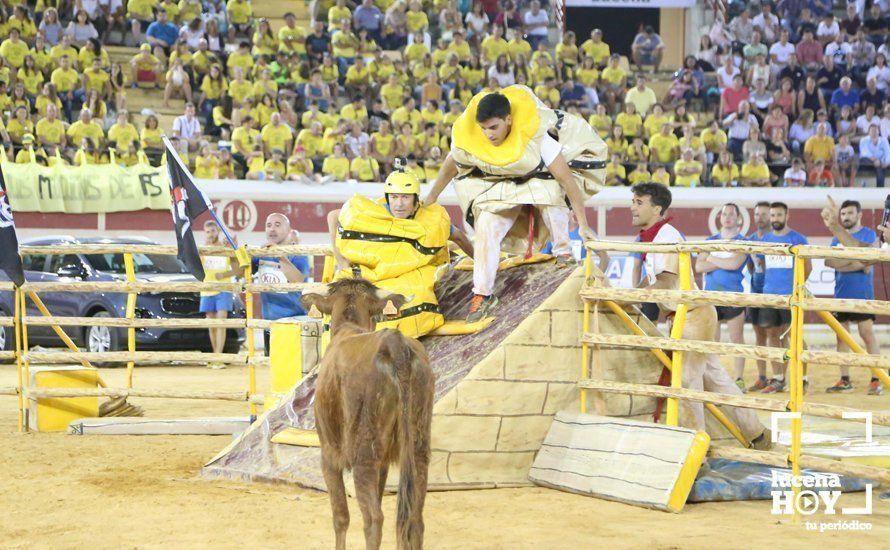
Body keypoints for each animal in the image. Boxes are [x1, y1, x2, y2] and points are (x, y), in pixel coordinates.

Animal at [302, 280, 434, 550]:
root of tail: (395, 344)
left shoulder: (329, 455)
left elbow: (340, 516)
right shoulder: (383, 464)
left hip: (364, 454)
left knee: (373, 519)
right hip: (417, 446)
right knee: (415, 518)